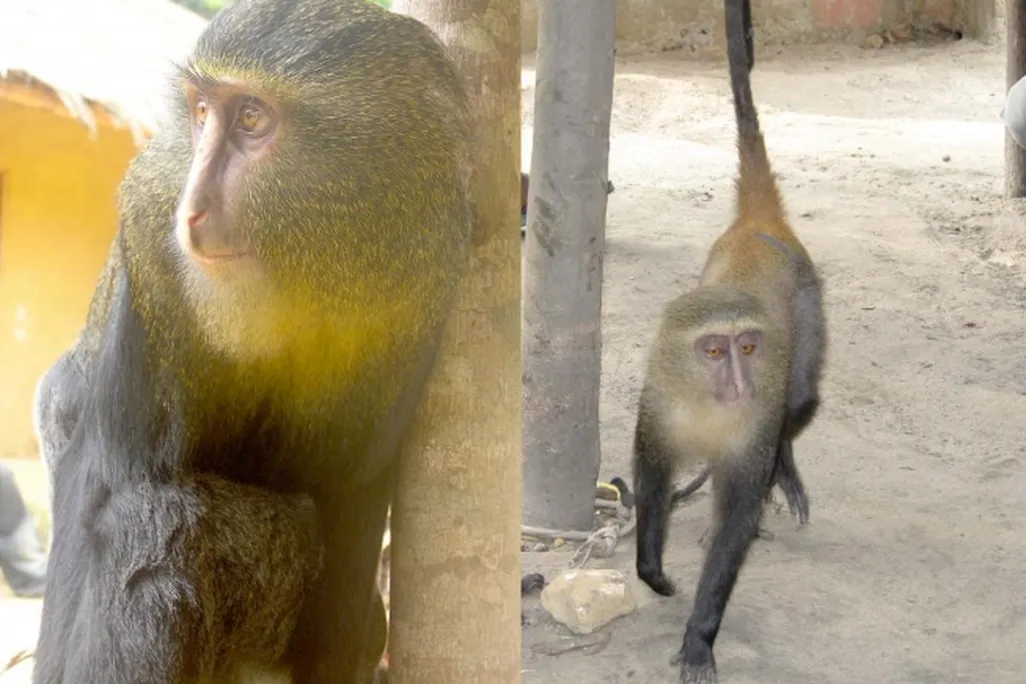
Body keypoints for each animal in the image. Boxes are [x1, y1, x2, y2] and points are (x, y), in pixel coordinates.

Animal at [33, 1, 472, 682]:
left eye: (252, 119)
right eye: (202, 114)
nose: (190, 210)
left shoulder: (420, 294)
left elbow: (352, 499)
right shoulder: (149, 241)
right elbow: (103, 489)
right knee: (160, 521)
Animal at [631, 0, 825, 679]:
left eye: (747, 347)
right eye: (713, 350)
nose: (740, 382)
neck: (709, 406)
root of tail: (757, 226)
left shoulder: (752, 425)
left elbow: (735, 526)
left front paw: (698, 638)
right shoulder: (657, 403)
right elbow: (651, 475)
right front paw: (651, 569)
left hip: (809, 307)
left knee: (799, 402)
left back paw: (784, 469)